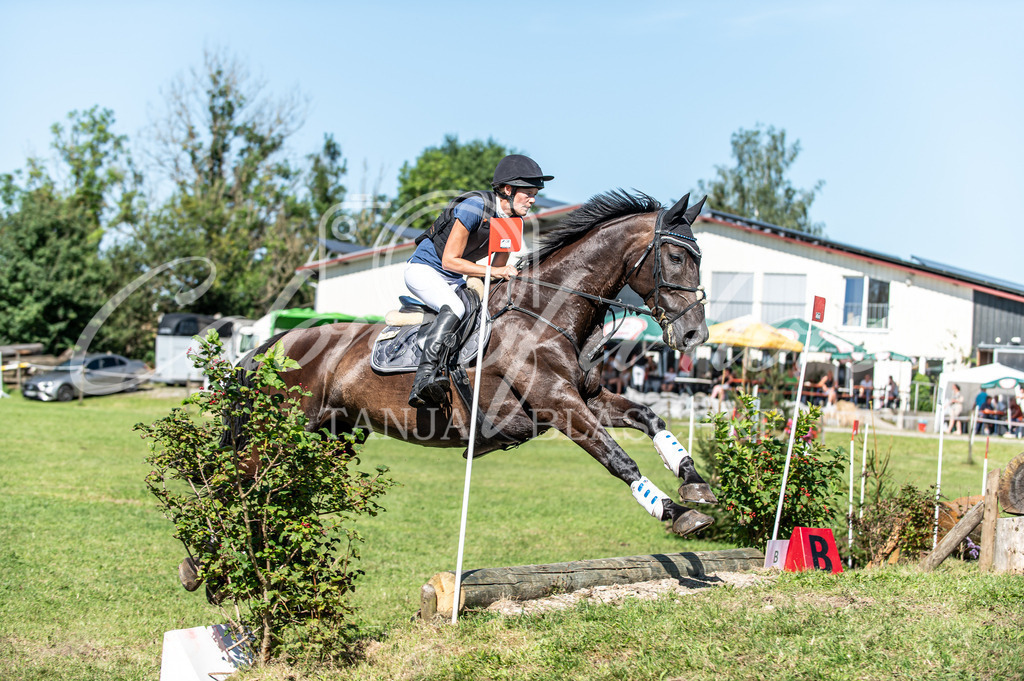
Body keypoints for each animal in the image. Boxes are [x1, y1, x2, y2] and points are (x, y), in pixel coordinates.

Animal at [234, 188, 712, 532]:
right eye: (675, 256)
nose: (696, 335)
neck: (544, 314)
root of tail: (277, 344)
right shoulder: (559, 404)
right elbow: (618, 458)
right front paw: (673, 511)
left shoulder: (587, 397)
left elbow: (649, 416)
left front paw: (694, 483)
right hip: (273, 440)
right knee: (241, 487)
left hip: (334, 433)